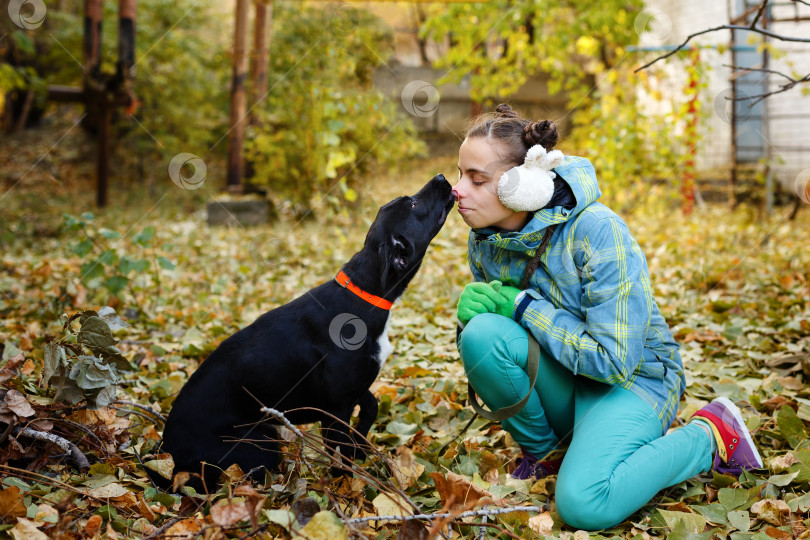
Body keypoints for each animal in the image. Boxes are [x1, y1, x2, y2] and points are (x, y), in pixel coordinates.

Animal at [153, 174, 454, 490]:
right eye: (413, 204)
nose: (441, 177)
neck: (364, 295)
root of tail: (165, 455)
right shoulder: (336, 408)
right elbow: (340, 456)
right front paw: (349, 485)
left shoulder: (352, 391)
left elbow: (370, 407)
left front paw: (360, 447)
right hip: (259, 445)